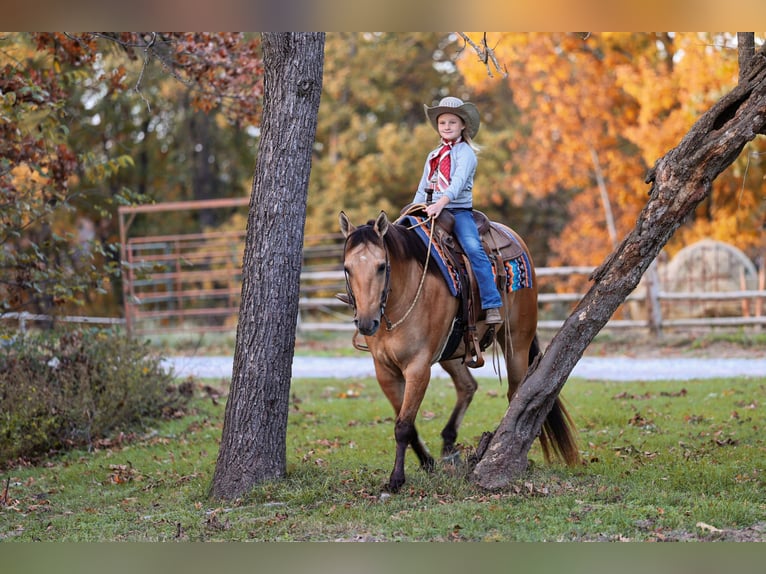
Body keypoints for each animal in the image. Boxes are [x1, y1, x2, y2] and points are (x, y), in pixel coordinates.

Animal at [339, 209, 579, 492]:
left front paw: (396, 479)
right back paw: (448, 443)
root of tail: (515, 238)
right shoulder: (384, 370)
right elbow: (407, 422)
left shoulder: (418, 368)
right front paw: (427, 463)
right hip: (453, 351)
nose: (366, 322)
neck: (403, 296)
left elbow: (404, 426)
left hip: (517, 342)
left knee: (517, 394)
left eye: (382, 266)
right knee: (467, 386)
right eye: (347, 268)